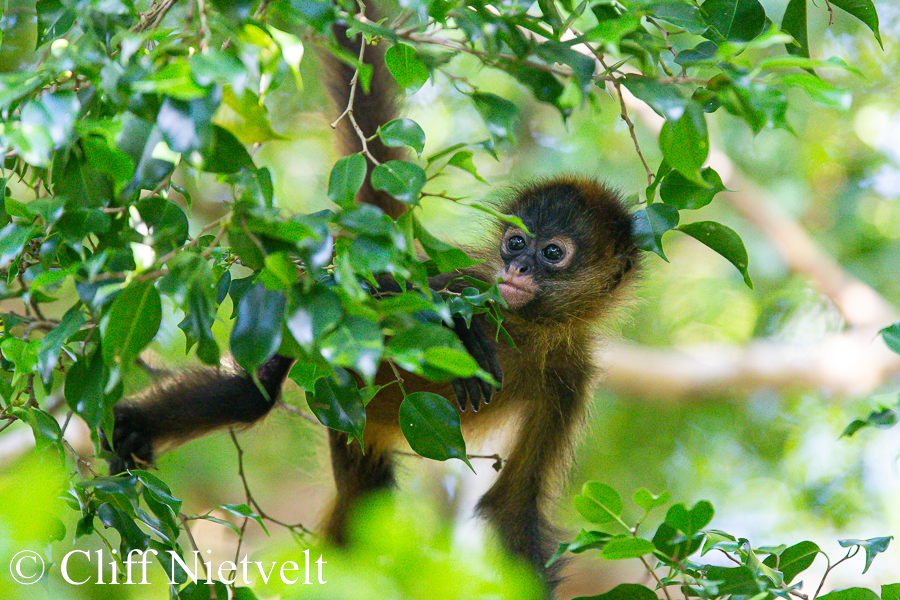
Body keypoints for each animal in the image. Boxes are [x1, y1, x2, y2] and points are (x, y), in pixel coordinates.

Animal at [105, 4, 640, 594]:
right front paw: (466, 335)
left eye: (552, 252)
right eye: (516, 242)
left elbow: (513, 507)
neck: (528, 327)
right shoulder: (473, 283)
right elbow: (369, 291)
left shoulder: (572, 377)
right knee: (254, 396)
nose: (517, 268)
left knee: (365, 513)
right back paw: (133, 424)